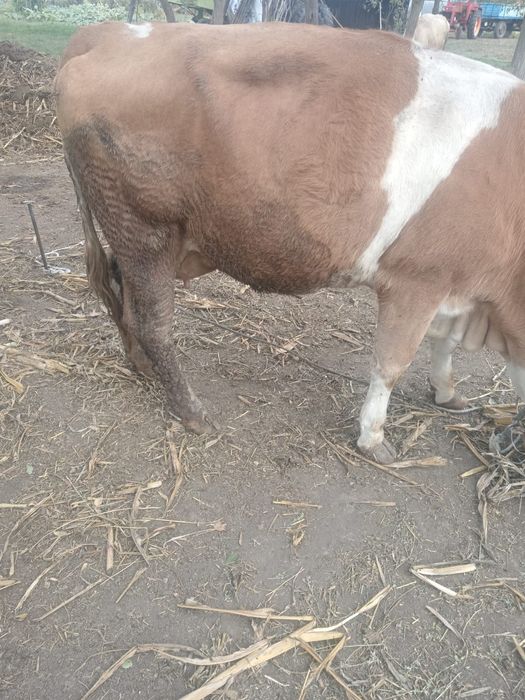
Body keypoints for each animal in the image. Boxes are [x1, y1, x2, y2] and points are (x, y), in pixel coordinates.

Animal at [55, 21, 525, 465]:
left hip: (137, 235)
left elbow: (443, 345)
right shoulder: (418, 280)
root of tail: (105, 32)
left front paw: (446, 392)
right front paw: (373, 438)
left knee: (123, 295)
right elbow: (391, 364)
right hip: (144, 228)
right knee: (153, 323)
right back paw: (190, 410)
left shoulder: (459, 288)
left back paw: (142, 366)